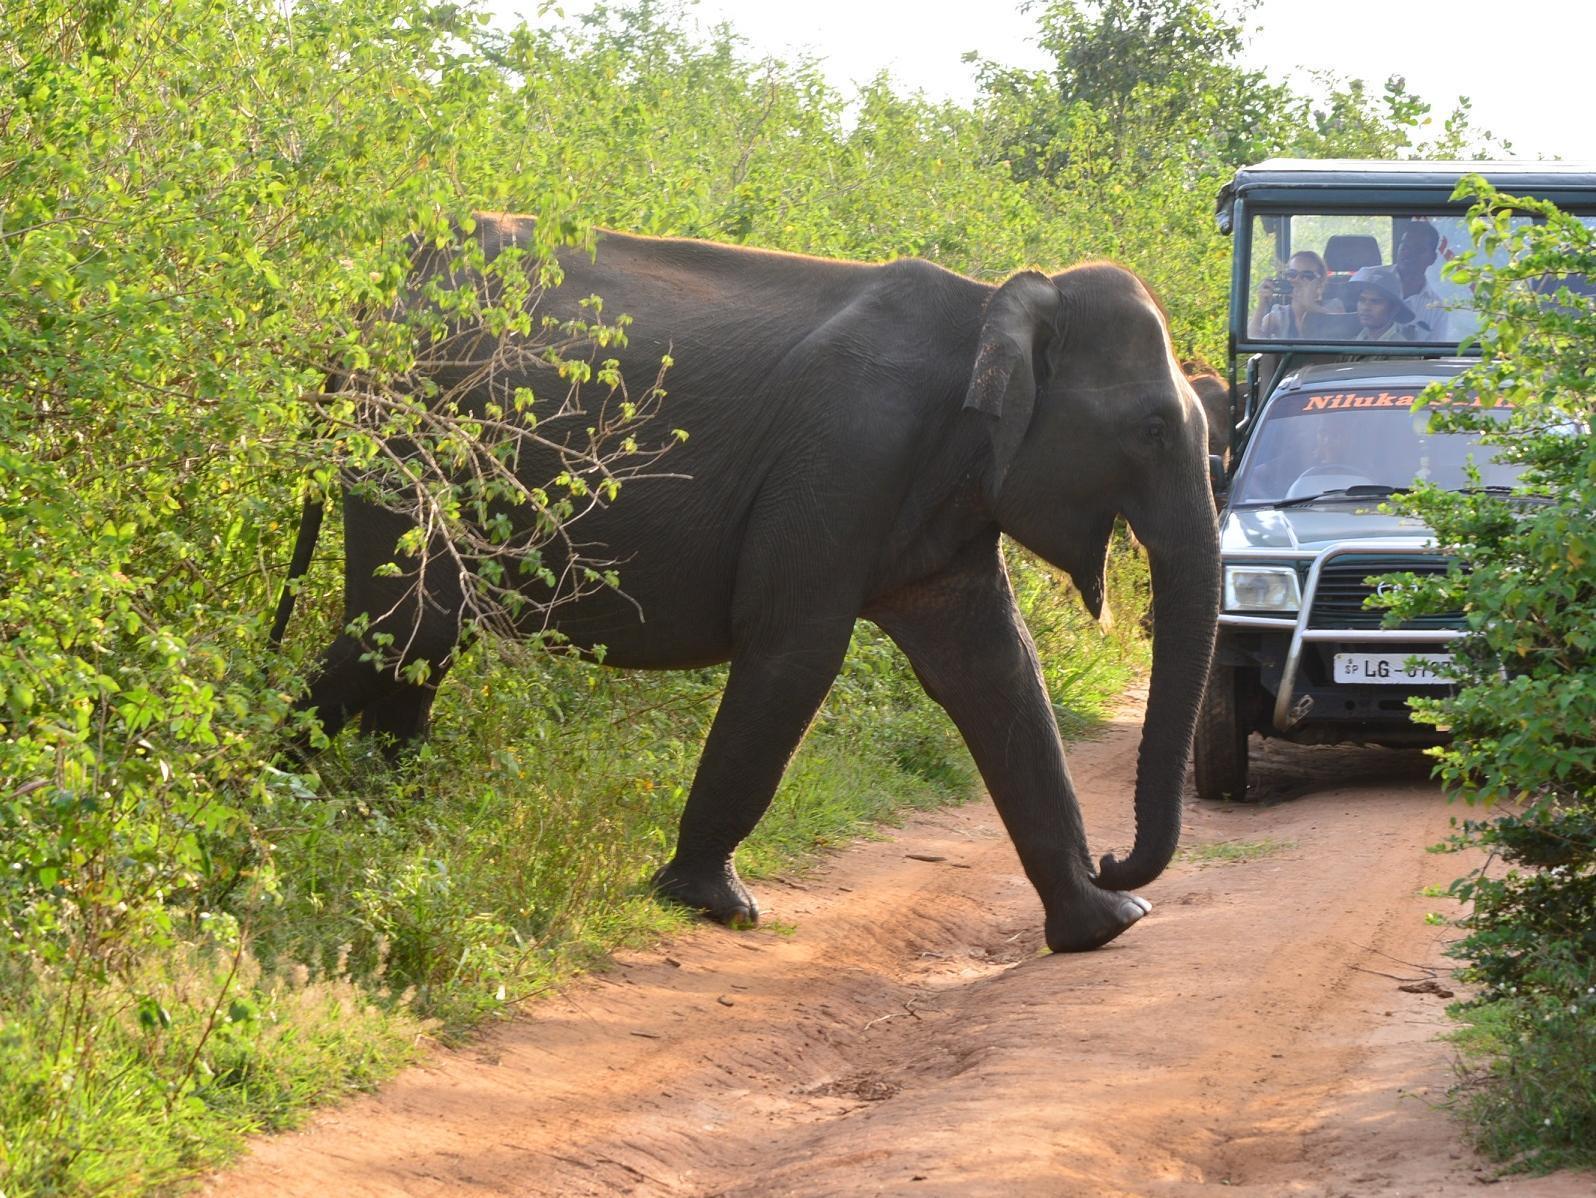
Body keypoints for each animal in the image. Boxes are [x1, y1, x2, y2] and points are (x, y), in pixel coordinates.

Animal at [280, 220, 1212, 957]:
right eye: (1152, 429)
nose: (1117, 860)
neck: (997, 302)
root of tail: (368, 305)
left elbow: (995, 669)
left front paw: (1107, 926)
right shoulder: (847, 452)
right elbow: (797, 652)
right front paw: (716, 906)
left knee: (422, 645)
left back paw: (386, 818)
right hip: (411, 444)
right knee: (409, 628)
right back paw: (283, 798)